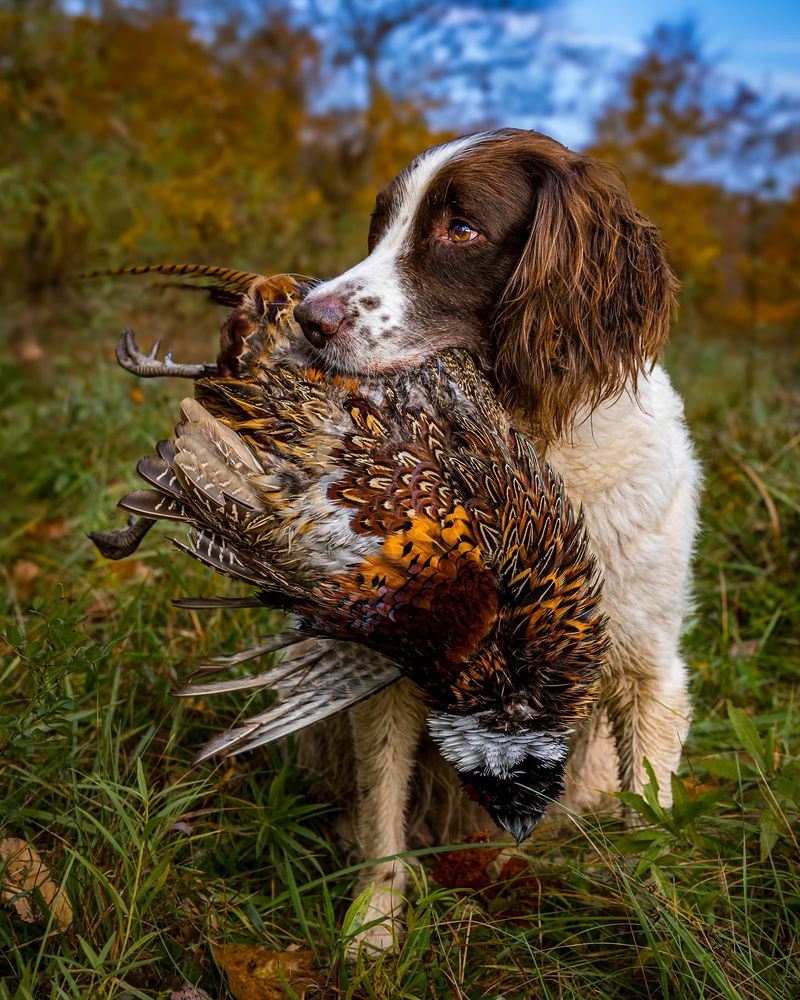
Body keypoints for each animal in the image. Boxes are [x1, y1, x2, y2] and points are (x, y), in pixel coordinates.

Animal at [294, 129, 700, 948]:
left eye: (462, 229)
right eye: (380, 223)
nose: (305, 318)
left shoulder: (650, 675)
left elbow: (649, 819)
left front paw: (662, 931)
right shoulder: (393, 669)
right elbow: (384, 810)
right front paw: (374, 924)